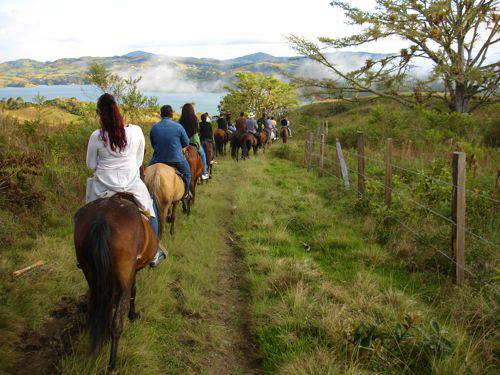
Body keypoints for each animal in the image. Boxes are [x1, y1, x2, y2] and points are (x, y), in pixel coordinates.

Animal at [73, 195, 156, 374]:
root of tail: (102, 218)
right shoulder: (133, 271)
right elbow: (133, 291)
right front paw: (133, 315)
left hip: (90, 273)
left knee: (95, 308)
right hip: (124, 271)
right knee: (117, 320)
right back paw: (112, 365)